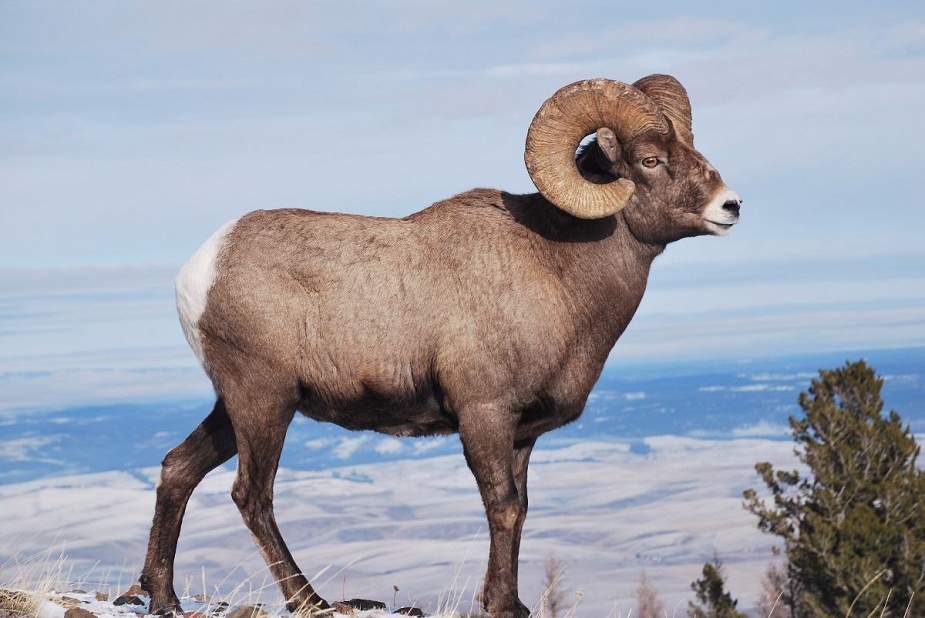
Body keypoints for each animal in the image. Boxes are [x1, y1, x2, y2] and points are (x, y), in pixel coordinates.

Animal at [139, 74, 741, 618]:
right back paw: (310, 602)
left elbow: (520, 510)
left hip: (234, 407)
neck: (557, 268)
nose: (731, 206)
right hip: (264, 403)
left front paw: (506, 602)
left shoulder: (521, 433)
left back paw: (164, 598)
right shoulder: (484, 414)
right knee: (252, 496)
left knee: (178, 469)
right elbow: (502, 507)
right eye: (650, 160)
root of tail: (202, 270)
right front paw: (504, 606)